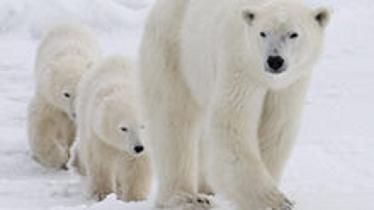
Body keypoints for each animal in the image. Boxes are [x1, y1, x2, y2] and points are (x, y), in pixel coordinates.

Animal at [139, 0, 328, 208]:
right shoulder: (239, 67)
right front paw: (275, 200)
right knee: (173, 119)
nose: (275, 60)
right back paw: (186, 197)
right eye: (263, 33)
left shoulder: (289, 85)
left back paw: (207, 187)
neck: (264, 76)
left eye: (293, 34)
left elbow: (277, 127)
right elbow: (232, 124)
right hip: (174, 50)